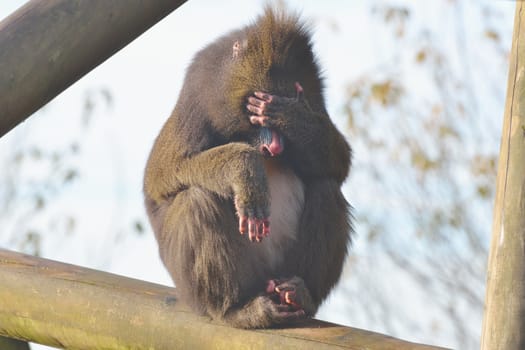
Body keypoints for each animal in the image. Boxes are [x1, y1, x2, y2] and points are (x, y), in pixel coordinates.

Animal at [143, 7, 352, 328]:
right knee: (196, 201)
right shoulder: (196, 103)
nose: (274, 147)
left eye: (288, 97)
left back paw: (301, 294)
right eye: (255, 104)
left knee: (326, 188)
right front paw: (245, 171)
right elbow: (163, 175)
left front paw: (294, 119)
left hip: (281, 271)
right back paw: (238, 309)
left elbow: (340, 162)